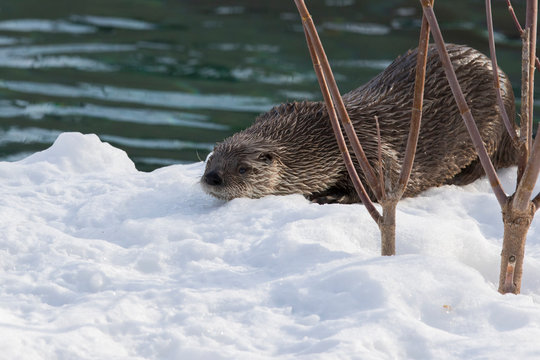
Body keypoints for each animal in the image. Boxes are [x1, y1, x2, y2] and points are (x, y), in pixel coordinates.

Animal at [200, 43, 516, 204]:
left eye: (243, 168)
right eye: (210, 160)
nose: (212, 178)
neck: (323, 138)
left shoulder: (368, 149)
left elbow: (381, 185)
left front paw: (329, 196)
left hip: (495, 124)